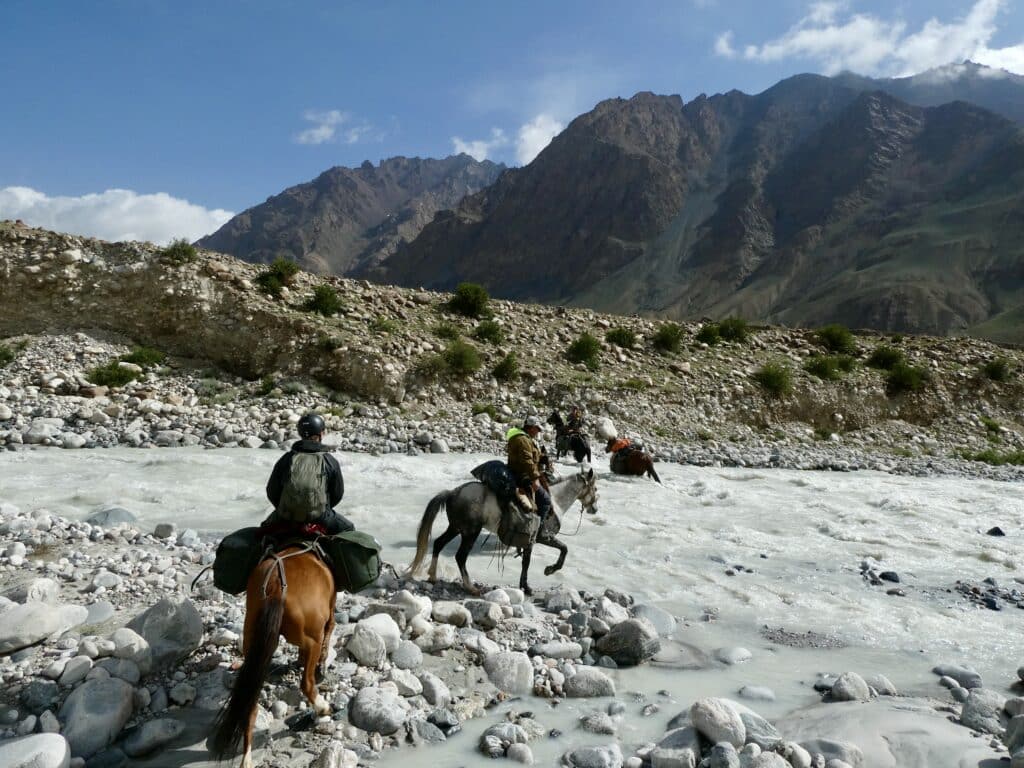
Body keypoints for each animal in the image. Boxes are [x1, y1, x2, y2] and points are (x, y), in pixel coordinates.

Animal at [211, 548, 339, 768]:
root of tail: (277, 586)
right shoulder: (329, 614)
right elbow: (329, 632)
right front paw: (320, 666)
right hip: (312, 638)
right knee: (307, 683)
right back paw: (323, 707)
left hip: (253, 645)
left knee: (250, 705)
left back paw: (247, 758)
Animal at [407, 468, 598, 602]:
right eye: (595, 488)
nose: (594, 509)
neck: (555, 502)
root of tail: (453, 492)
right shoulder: (542, 537)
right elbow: (563, 549)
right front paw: (549, 571)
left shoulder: (529, 541)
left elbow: (526, 562)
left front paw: (525, 585)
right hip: (470, 532)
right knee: (460, 556)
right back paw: (471, 588)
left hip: (455, 527)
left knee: (439, 543)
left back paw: (432, 576)